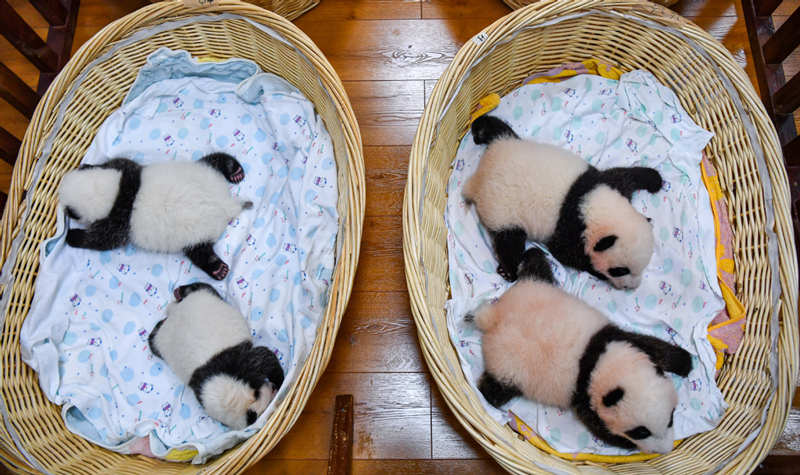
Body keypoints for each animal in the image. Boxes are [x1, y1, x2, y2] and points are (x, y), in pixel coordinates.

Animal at [59, 153, 251, 280]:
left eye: (68, 211)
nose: (65, 211)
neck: (111, 192)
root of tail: (225, 203)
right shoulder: (128, 171)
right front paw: (88, 166)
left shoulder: (118, 222)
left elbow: (101, 240)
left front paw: (72, 236)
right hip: (202, 175)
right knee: (212, 161)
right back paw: (233, 169)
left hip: (195, 232)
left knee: (200, 253)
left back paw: (217, 269)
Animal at [148, 282, 284, 430]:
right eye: (255, 416)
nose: (273, 389)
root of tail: (173, 310)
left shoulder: (239, 362)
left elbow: (264, 358)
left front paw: (280, 380)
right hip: (160, 340)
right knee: (152, 339)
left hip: (202, 296)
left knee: (200, 287)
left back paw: (179, 291)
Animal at [463, 115, 663, 289]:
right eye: (620, 271)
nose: (632, 286)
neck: (591, 206)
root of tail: (477, 178)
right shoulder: (569, 227)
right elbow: (564, 252)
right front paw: (595, 270)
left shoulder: (598, 183)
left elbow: (623, 176)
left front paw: (654, 179)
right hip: (504, 212)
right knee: (508, 242)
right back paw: (509, 270)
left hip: (511, 142)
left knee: (496, 127)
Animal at [470, 247, 692, 454]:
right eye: (640, 432)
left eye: (671, 418)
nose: (665, 449)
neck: (598, 364)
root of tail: (493, 316)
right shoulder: (582, 395)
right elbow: (597, 425)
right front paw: (624, 443)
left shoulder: (614, 339)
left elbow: (650, 346)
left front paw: (684, 362)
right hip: (509, 367)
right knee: (493, 391)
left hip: (535, 289)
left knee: (537, 268)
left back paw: (531, 255)